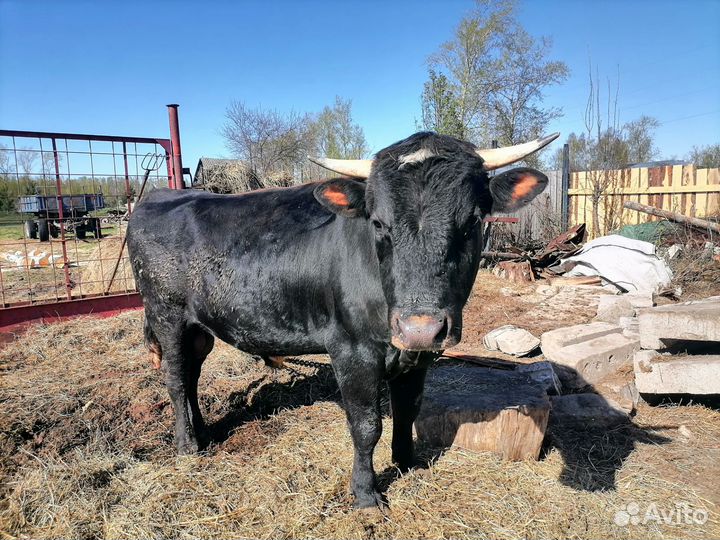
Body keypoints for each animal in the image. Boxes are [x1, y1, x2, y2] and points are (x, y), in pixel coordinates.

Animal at [126, 131, 556, 509]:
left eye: (473, 221)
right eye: (379, 223)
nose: (420, 327)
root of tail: (157, 197)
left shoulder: (417, 357)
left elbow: (408, 409)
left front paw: (407, 462)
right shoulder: (352, 350)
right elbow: (366, 426)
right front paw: (366, 493)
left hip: (199, 327)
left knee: (192, 375)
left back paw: (202, 431)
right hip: (166, 314)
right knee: (176, 379)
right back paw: (187, 446)